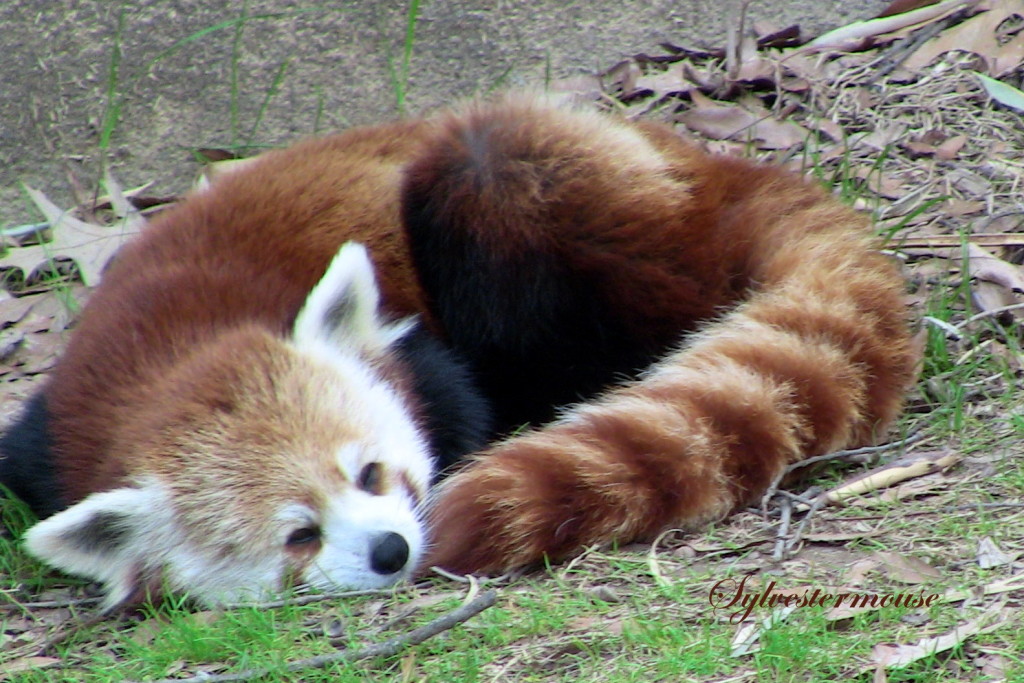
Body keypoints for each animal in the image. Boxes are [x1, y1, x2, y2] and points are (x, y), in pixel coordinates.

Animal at [0, 94, 921, 610]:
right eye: (299, 536)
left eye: (372, 472)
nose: (391, 549)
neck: (169, 348)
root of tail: (713, 167)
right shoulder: (47, 432)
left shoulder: (411, 350)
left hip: (541, 186)